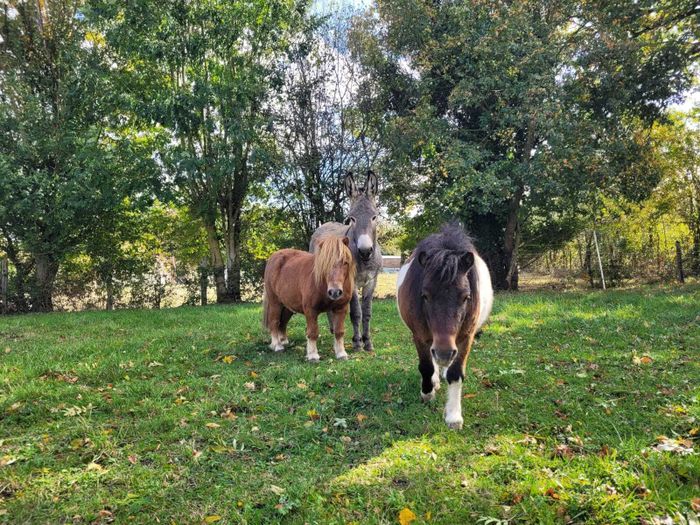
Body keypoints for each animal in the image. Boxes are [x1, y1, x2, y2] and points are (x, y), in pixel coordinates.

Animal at [309, 170, 382, 352]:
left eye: (374, 217)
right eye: (352, 218)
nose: (365, 251)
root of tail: (324, 224)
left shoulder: (372, 281)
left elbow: (367, 312)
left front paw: (367, 342)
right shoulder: (352, 282)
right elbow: (356, 312)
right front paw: (357, 343)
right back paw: (333, 329)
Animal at [396, 223, 493, 429]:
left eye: (466, 297)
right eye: (424, 295)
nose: (444, 353)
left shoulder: (466, 337)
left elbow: (456, 373)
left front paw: (454, 416)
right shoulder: (420, 336)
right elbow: (426, 366)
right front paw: (427, 393)